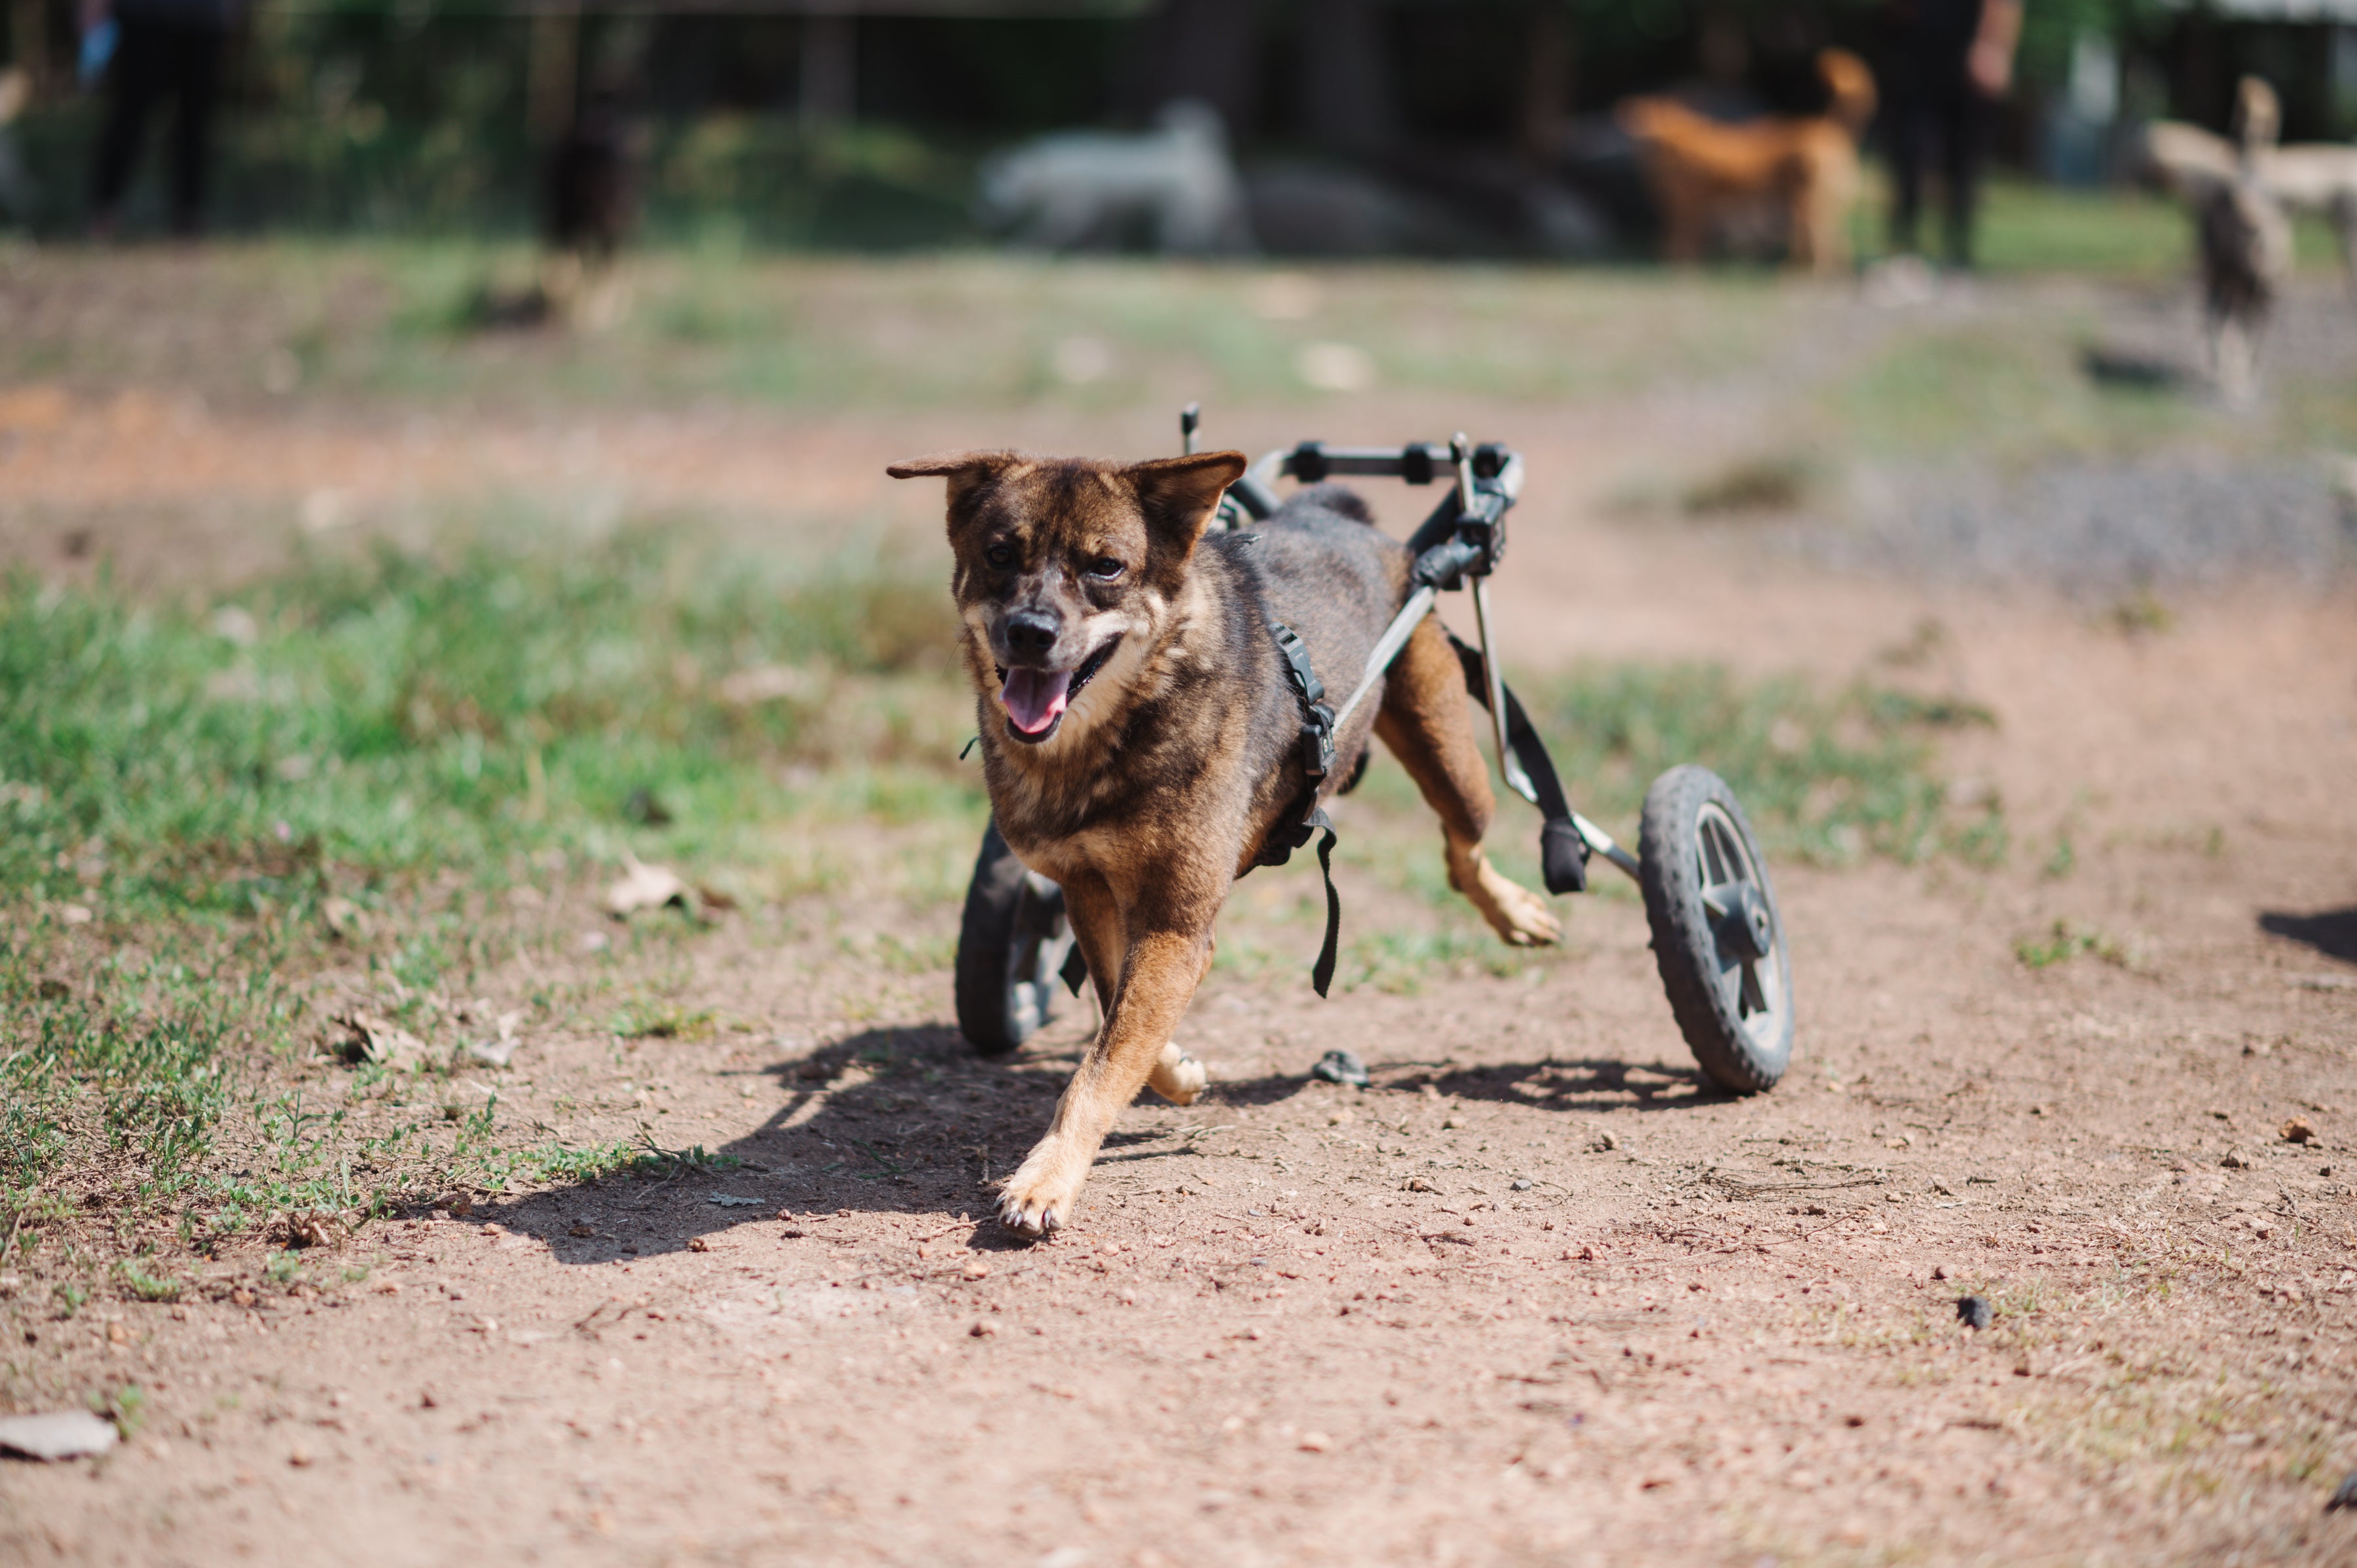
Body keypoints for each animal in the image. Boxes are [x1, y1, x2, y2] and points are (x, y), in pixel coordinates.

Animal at [890, 450, 1556, 1235]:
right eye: (999, 554)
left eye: (1107, 566)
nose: (1029, 631)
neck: (1112, 733)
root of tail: (1336, 513)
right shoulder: (1093, 892)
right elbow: (1118, 1022)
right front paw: (1176, 1071)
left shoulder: (1175, 926)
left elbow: (1100, 1065)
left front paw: (1046, 1178)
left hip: (1450, 755)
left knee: (1465, 849)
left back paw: (1516, 911)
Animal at [1621, 47, 1876, 273]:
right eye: (1638, 117)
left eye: (1650, 118)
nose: (1637, 131)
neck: (1670, 141)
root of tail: (1826, 128)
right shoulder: (1684, 205)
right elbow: (1679, 241)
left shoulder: (1687, 204)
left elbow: (1681, 241)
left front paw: (1681, 269)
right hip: (1818, 203)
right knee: (1834, 241)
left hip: (1804, 203)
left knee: (1818, 241)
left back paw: (1800, 273)